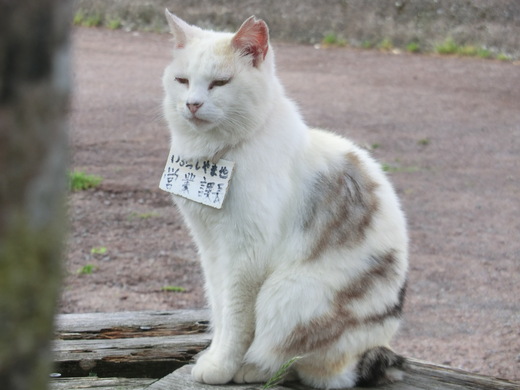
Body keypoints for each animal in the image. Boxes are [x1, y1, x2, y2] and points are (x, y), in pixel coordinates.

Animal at [160, 10, 408, 388]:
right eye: (182, 80)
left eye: (220, 83)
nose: (192, 103)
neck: (216, 153)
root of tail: (367, 350)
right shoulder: (211, 249)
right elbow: (219, 307)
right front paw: (214, 355)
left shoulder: (246, 254)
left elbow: (236, 319)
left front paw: (223, 366)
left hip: (287, 292)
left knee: (304, 362)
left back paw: (253, 369)